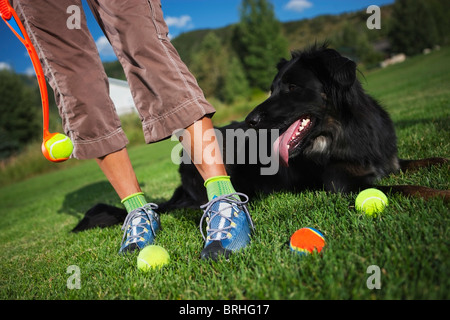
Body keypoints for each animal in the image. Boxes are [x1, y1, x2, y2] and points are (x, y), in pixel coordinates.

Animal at [74, 43, 446, 231]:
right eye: (272, 88)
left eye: (292, 87)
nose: (252, 121)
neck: (346, 130)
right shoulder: (342, 185)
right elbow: (408, 188)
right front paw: (443, 194)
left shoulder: (389, 161)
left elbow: (428, 162)